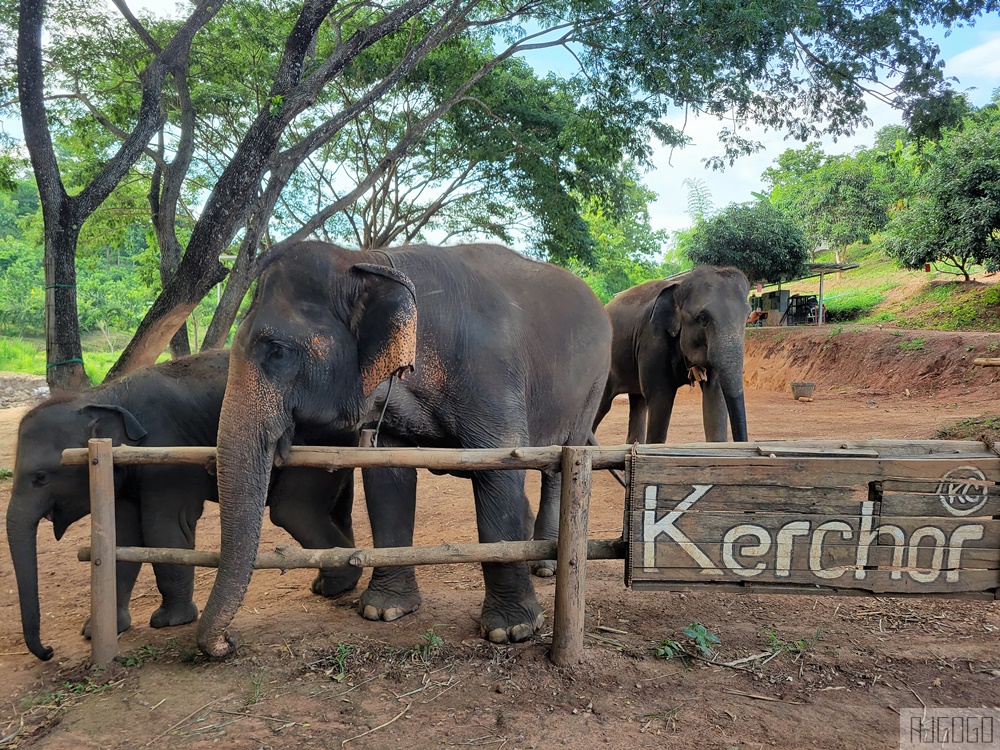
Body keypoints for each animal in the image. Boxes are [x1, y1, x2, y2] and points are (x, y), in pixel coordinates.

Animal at [7, 349, 360, 662]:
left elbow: (163, 529)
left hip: (317, 443)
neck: (103, 396)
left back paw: (338, 586)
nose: (48, 651)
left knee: (292, 509)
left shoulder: (167, 456)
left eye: (40, 477)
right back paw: (328, 584)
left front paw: (169, 622)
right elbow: (124, 538)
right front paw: (96, 632)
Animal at [195, 240, 612, 658]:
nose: (226, 642)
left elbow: (500, 463)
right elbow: (386, 476)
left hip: (591, 387)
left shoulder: (490, 373)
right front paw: (384, 611)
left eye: (277, 350)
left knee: (560, 461)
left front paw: (511, 631)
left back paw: (546, 565)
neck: (371, 261)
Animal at [593, 266, 751, 444]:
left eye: (748, 317)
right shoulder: (652, 340)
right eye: (703, 318)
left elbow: (715, 397)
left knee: (638, 402)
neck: (678, 286)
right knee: (602, 405)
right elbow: (661, 399)